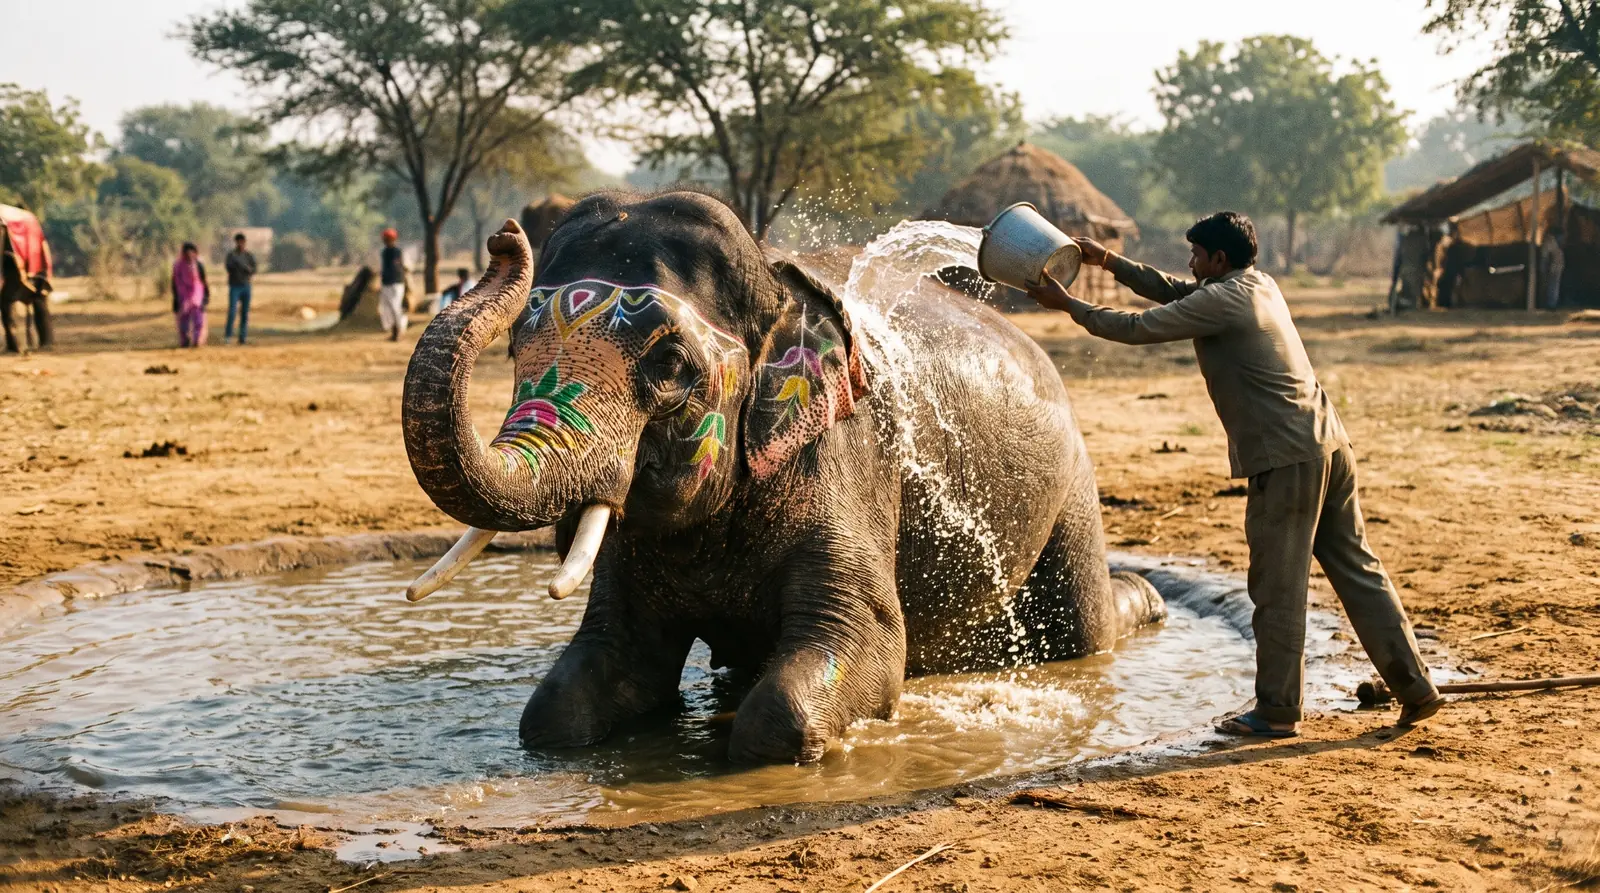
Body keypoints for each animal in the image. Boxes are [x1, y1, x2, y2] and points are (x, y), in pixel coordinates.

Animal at [401, 191, 1165, 764]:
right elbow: (575, 691)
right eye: (513, 348)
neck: (775, 283)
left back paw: (1145, 598)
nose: (503, 237)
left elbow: (862, 653)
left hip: (1072, 477)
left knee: (1083, 627)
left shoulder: (849, 456)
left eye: (670, 365)